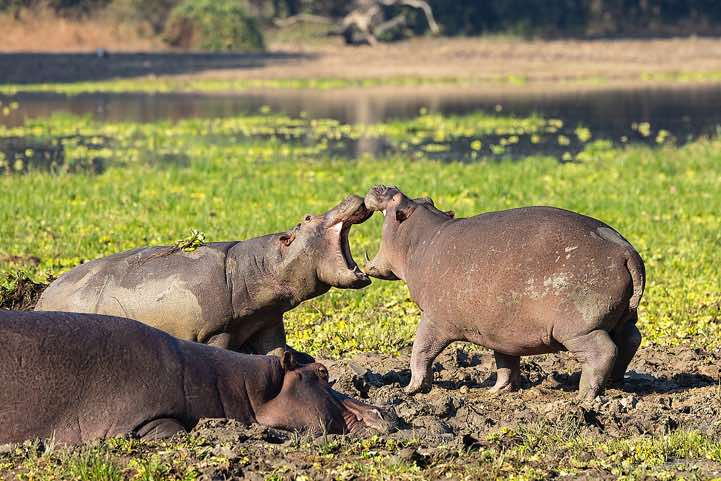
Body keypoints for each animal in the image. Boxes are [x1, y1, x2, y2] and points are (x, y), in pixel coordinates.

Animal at [35, 195, 372, 361]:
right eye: (308, 218)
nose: (352, 194)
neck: (260, 265)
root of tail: (41, 299)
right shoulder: (216, 332)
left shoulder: (268, 322)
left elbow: (277, 353)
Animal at [363, 186, 645, 400]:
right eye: (425, 198)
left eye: (397, 200)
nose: (384, 185)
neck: (420, 239)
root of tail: (626, 252)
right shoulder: (502, 332)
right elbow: (506, 362)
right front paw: (497, 391)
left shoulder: (434, 319)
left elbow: (421, 350)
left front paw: (410, 389)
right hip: (621, 317)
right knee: (631, 339)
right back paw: (615, 383)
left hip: (579, 329)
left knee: (603, 351)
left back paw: (583, 396)